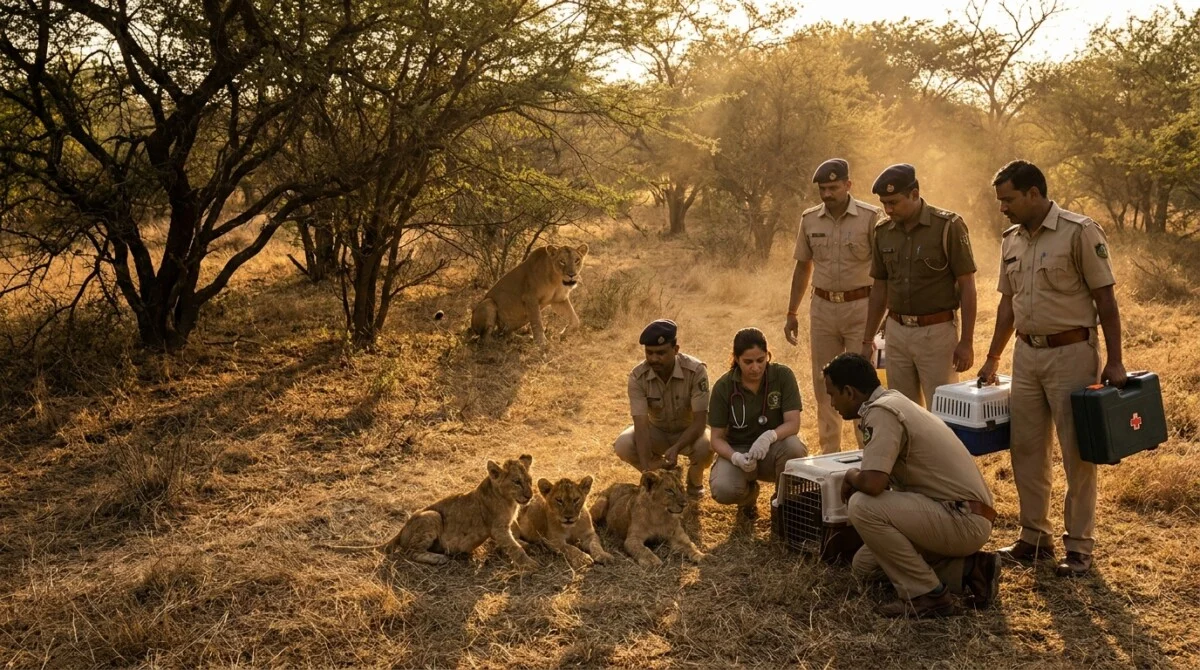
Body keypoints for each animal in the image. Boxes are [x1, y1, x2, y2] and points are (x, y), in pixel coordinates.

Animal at [324, 455, 538, 571]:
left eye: (529, 480)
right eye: (516, 482)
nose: (530, 495)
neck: (509, 500)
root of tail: (401, 529)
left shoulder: (507, 525)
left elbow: (515, 540)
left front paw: (527, 545)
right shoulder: (497, 529)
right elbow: (513, 547)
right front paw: (529, 564)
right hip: (432, 516)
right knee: (410, 552)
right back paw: (439, 558)